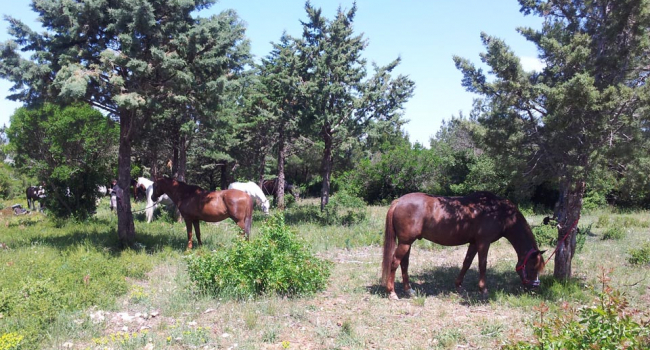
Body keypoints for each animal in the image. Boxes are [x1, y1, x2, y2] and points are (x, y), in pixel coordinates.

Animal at [380, 191, 540, 300]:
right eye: (533, 266)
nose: (534, 287)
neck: (499, 212)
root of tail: (399, 201)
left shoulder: (474, 243)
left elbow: (466, 263)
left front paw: (458, 286)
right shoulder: (484, 242)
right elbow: (482, 265)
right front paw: (484, 290)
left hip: (407, 243)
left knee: (404, 264)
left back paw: (409, 290)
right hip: (405, 243)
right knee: (395, 262)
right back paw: (392, 293)